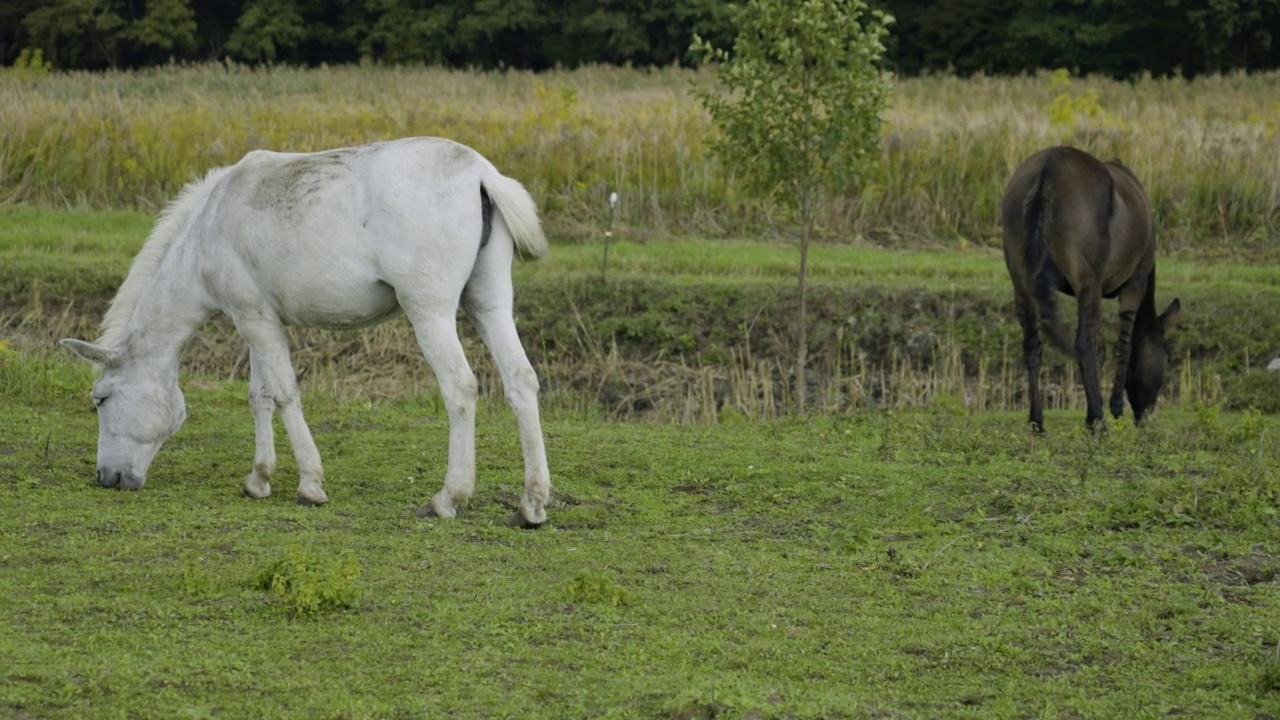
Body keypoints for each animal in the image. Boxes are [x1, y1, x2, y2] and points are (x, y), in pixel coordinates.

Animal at [61, 137, 550, 525]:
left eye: (100, 399)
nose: (106, 478)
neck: (208, 226)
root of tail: (481, 173)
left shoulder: (254, 319)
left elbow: (283, 394)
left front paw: (309, 484)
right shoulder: (256, 319)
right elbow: (259, 396)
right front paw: (258, 478)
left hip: (430, 313)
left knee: (460, 389)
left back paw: (448, 498)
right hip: (488, 304)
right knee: (520, 382)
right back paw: (531, 504)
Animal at [998, 142, 1177, 427]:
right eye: (1167, 356)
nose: (1145, 415)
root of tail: (1050, 167)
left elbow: (1101, 347)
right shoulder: (1134, 285)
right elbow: (1123, 345)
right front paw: (1114, 406)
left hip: (1022, 281)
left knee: (1032, 345)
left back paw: (1037, 421)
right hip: (1086, 282)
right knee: (1082, 345)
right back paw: (1096, 420)